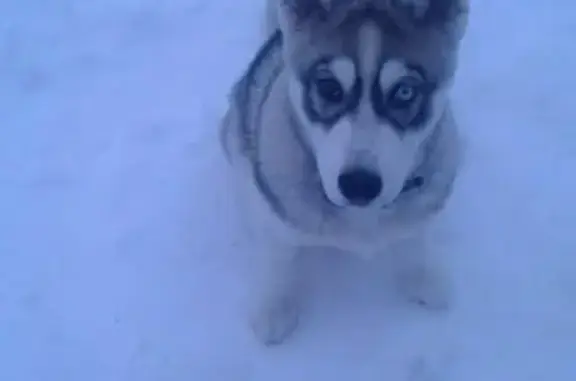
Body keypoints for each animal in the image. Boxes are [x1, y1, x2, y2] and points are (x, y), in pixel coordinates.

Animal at [219, 0, 468, 344]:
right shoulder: (277, 212)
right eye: (329, 87)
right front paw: (276, 306)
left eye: (404, 92)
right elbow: (279, 259)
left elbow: (414, 238)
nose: (359, 185)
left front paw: (421, 277)